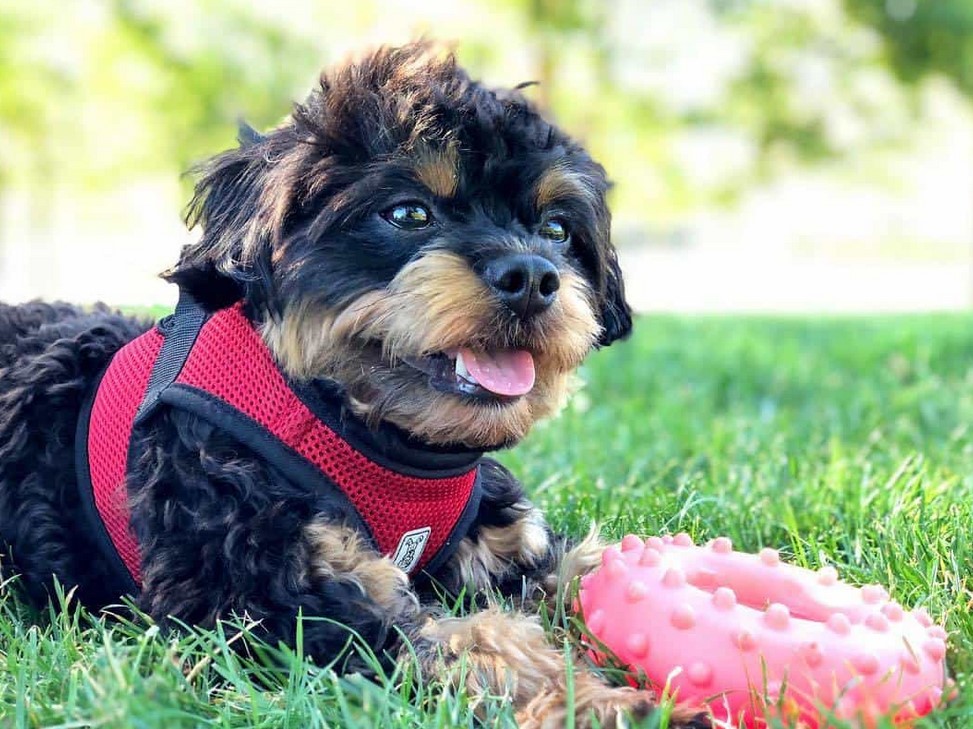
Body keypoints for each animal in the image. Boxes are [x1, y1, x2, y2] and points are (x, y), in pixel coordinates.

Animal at [0, 44, 708, 728]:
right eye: (408, 212)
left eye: (557, 229)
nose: (532, 277)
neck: (362, 427)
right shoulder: (260, 595)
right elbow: (474, 642)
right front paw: (606, 704)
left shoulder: (508, 546)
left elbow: (578, 566)